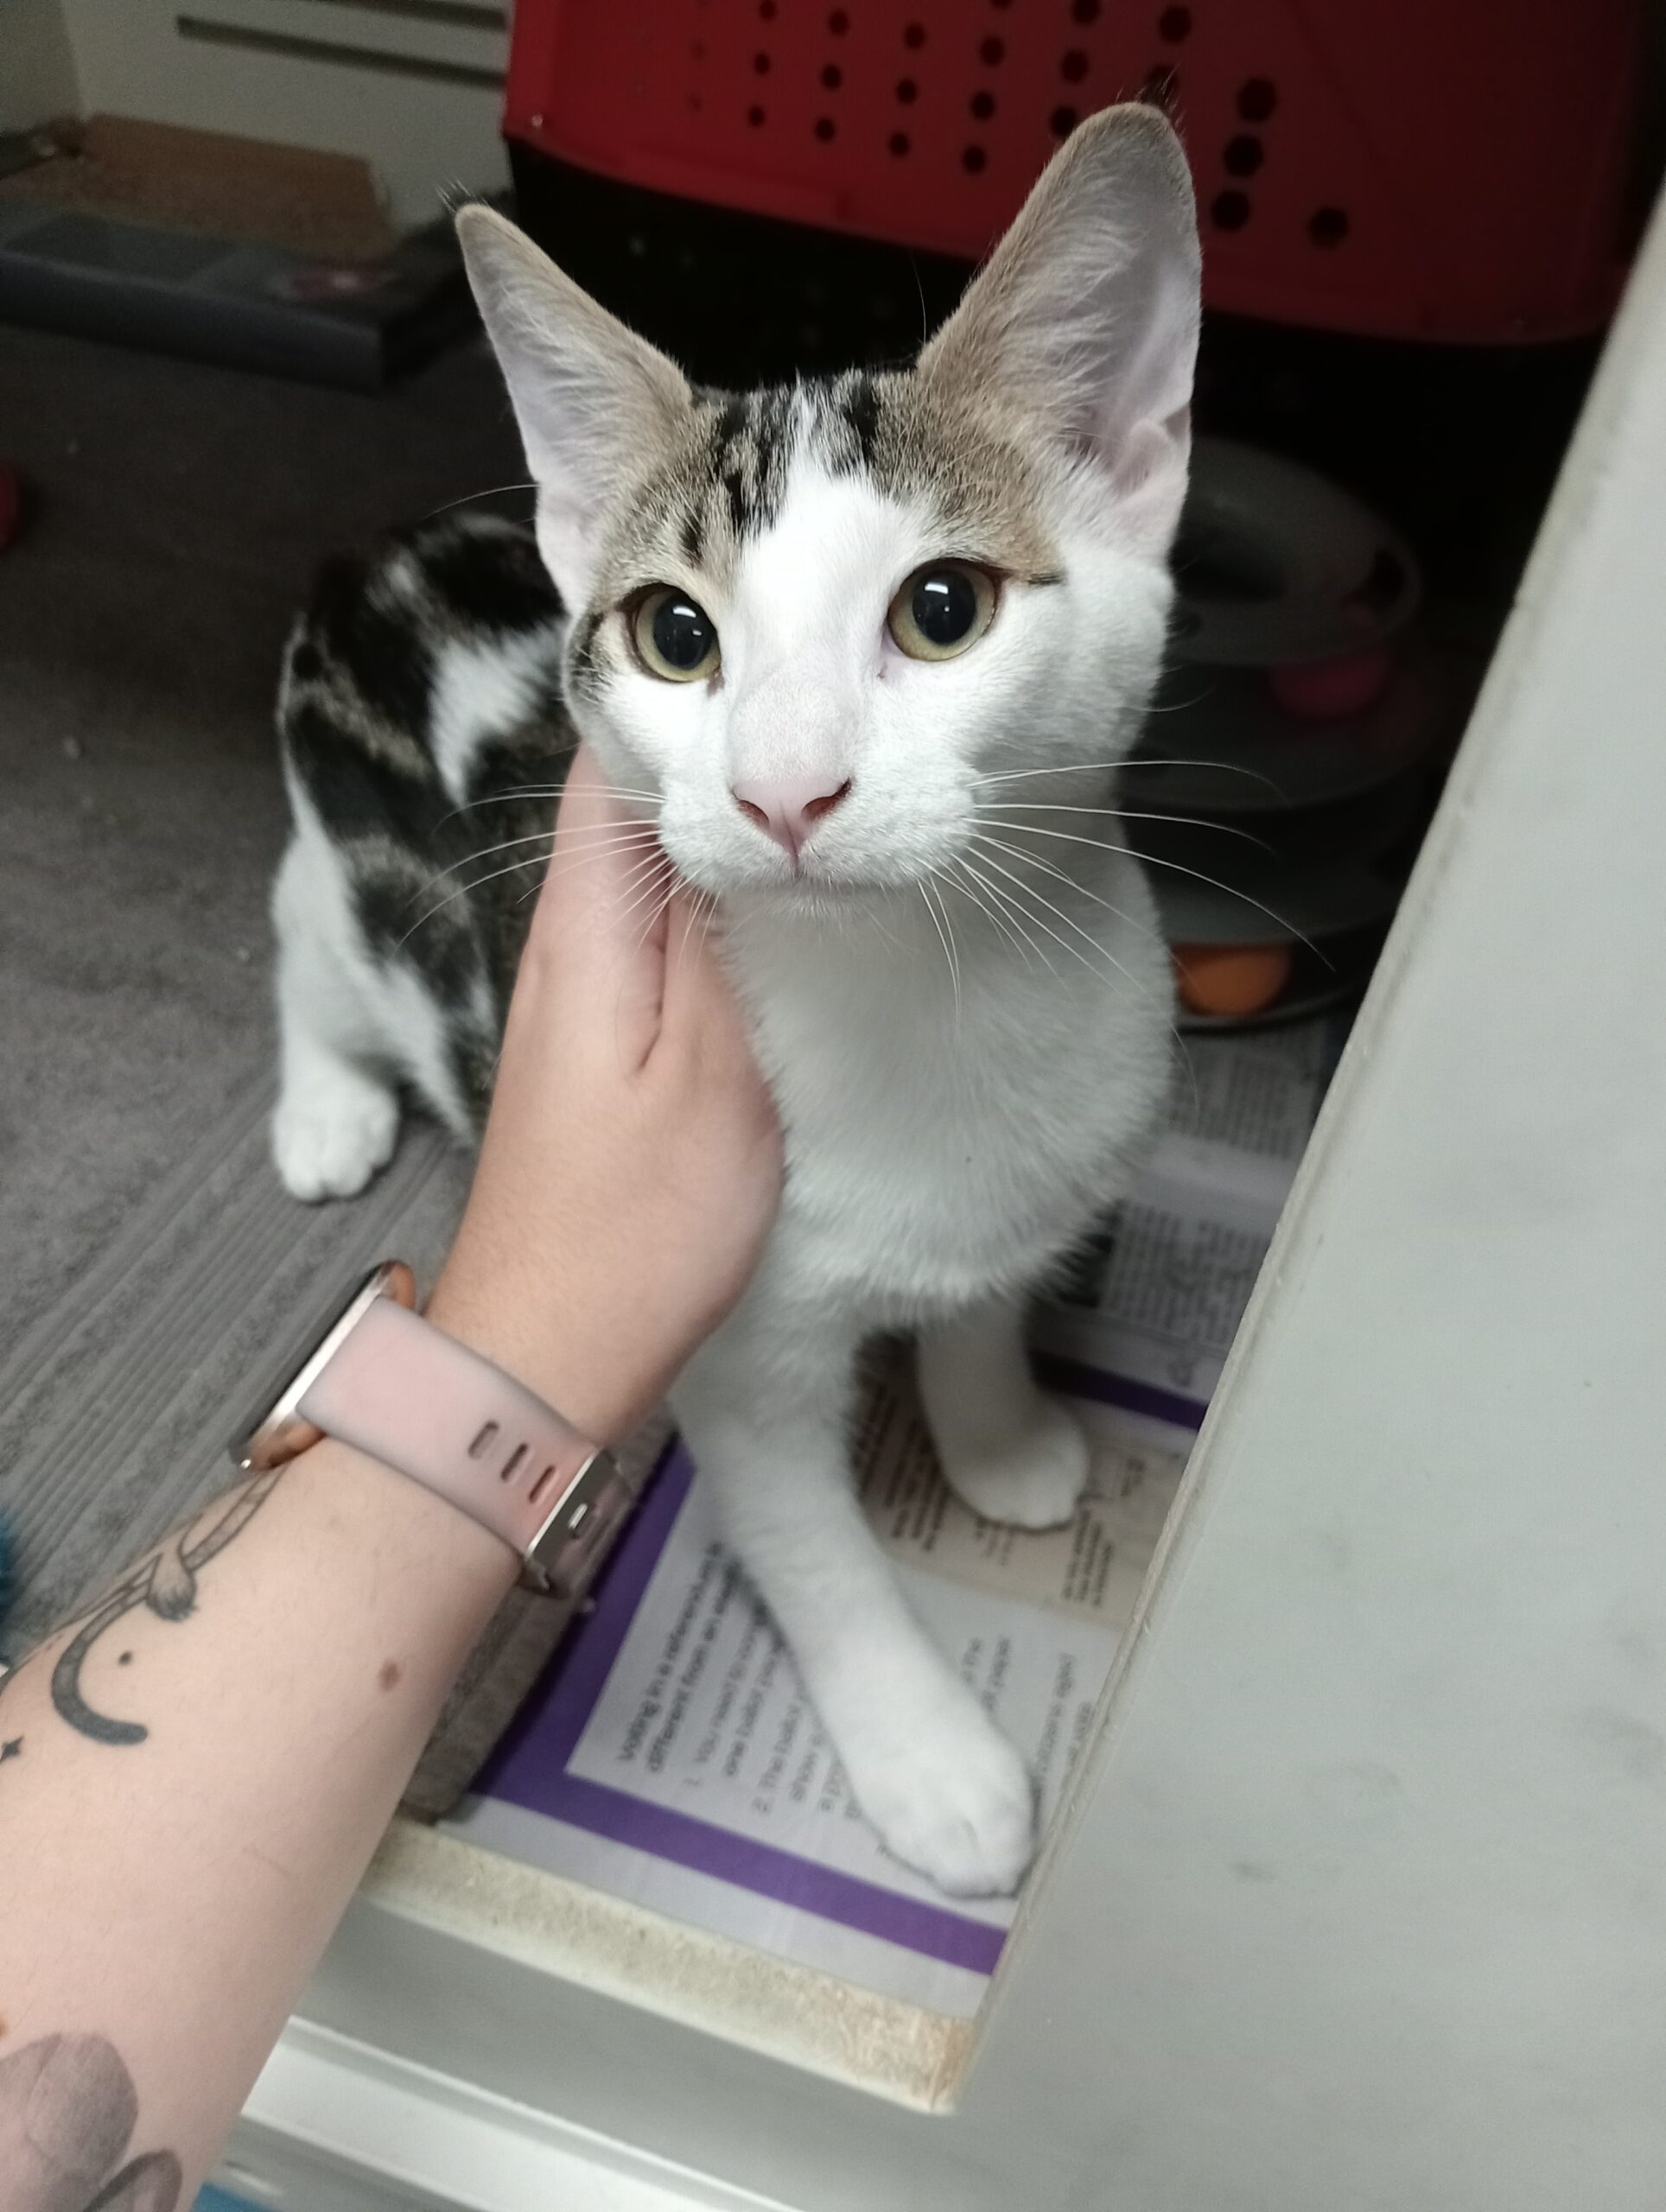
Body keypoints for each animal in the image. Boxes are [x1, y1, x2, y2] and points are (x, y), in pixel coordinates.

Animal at [271, 104, 1200, 1896]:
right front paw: (928, 1757)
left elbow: (980, 1304)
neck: (924, 995)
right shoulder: (737, 1350)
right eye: (673, 633)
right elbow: (812, 1550)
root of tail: (386, 553)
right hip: (350, 878)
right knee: (305, 937)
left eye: (941, 608)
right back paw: (326, 1106)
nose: (782, 790)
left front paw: (998, 1437)